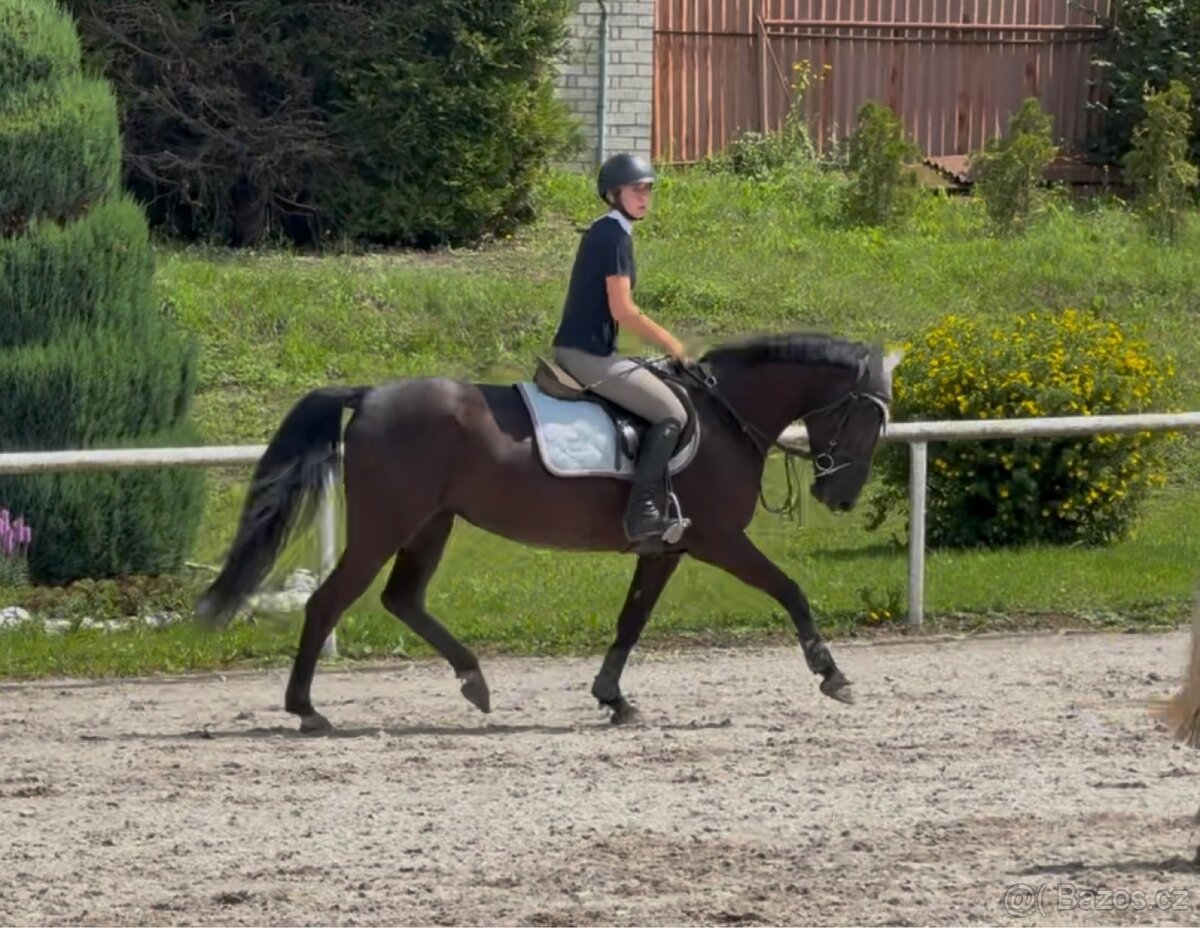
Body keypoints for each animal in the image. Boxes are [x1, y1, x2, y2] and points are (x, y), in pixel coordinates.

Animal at [195, 331, 900, 732]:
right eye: (869, 418)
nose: (839, 495)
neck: (727, 414)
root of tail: (368, 396)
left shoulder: (668, 547)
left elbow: (632, 618)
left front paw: (613, 698)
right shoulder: (719, 540)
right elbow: (789, 590)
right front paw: (832, 674)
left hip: (431, 523)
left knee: (403, 599)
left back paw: (474, 682)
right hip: (385, 525)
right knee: (328, 602)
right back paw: (307, 709)